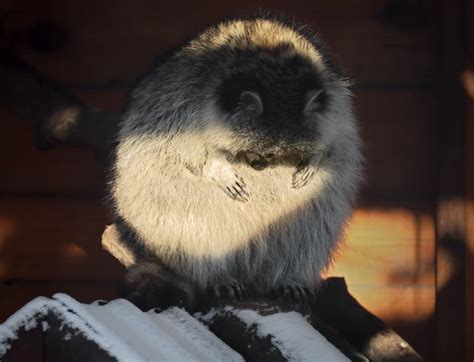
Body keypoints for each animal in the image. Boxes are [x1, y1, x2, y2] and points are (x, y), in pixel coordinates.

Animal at [110, 17, 362, 312]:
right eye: (255, 151)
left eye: (282, 155)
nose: (259, 167)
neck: (274, 65)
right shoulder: (180, 100)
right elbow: (180, 148)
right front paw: (215, 166)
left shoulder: (335, 98)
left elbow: (338, 140)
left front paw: (317, 156)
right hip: (155, 201)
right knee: (191, 219)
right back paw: (217, 275)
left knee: (312, 227)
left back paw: (291, 275)